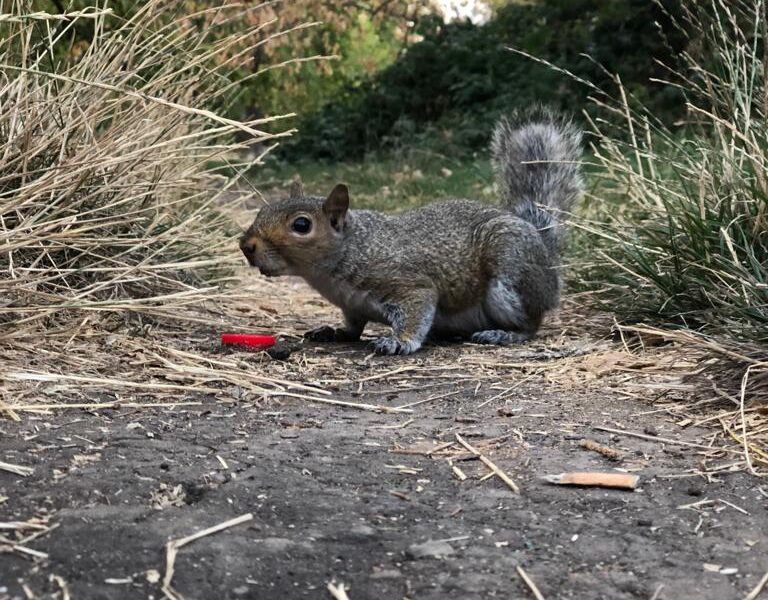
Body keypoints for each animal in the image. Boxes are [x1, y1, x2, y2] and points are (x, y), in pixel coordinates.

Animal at [240, 108, 584, 354]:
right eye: (263, 210)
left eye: (301, 225)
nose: (246, 246)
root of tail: (545, 251)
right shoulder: (352, 305)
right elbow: (352, 327)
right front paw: (333, 332)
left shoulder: (409, 284)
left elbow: (416, 311)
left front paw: (398, 341)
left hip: (510, 274)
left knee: (531, 323)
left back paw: (503, 334)